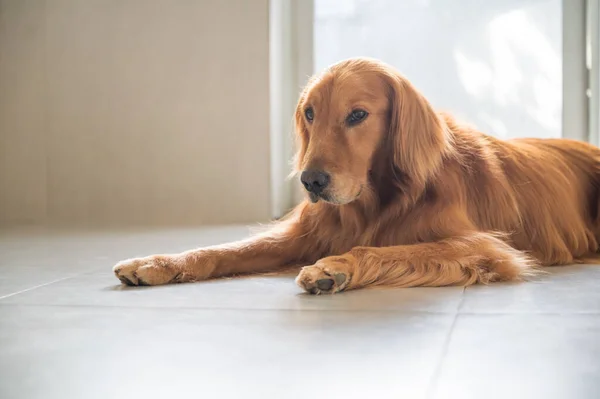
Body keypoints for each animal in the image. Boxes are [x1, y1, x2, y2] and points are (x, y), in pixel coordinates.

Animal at [112, 57, 600, 294]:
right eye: (310, 113)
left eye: (358, 115)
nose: (311, 182)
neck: (378, 199)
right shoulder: (303, 233)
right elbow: (222, 249)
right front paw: (158, 262)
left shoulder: (485, 246)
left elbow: (384, 248)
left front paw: (336, 267)